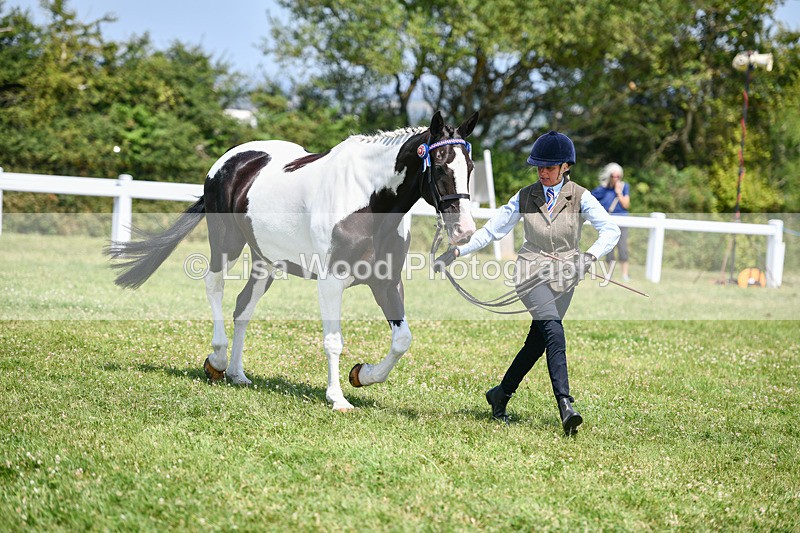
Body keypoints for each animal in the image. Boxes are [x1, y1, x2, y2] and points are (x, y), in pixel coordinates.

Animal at [107, 111, 479, 411]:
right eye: (440, 165)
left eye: (471, 167)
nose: (464, 230)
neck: (367, 199)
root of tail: (230, 161)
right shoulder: (331, 282)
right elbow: (333, 341)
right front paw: (337, 398)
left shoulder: (386, 282)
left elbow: (402, 340)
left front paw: (361, 375)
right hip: (226, 243)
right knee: (214, 285)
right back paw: (218, 359)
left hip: (266, 261)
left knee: (243, 306)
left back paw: (237, 374)